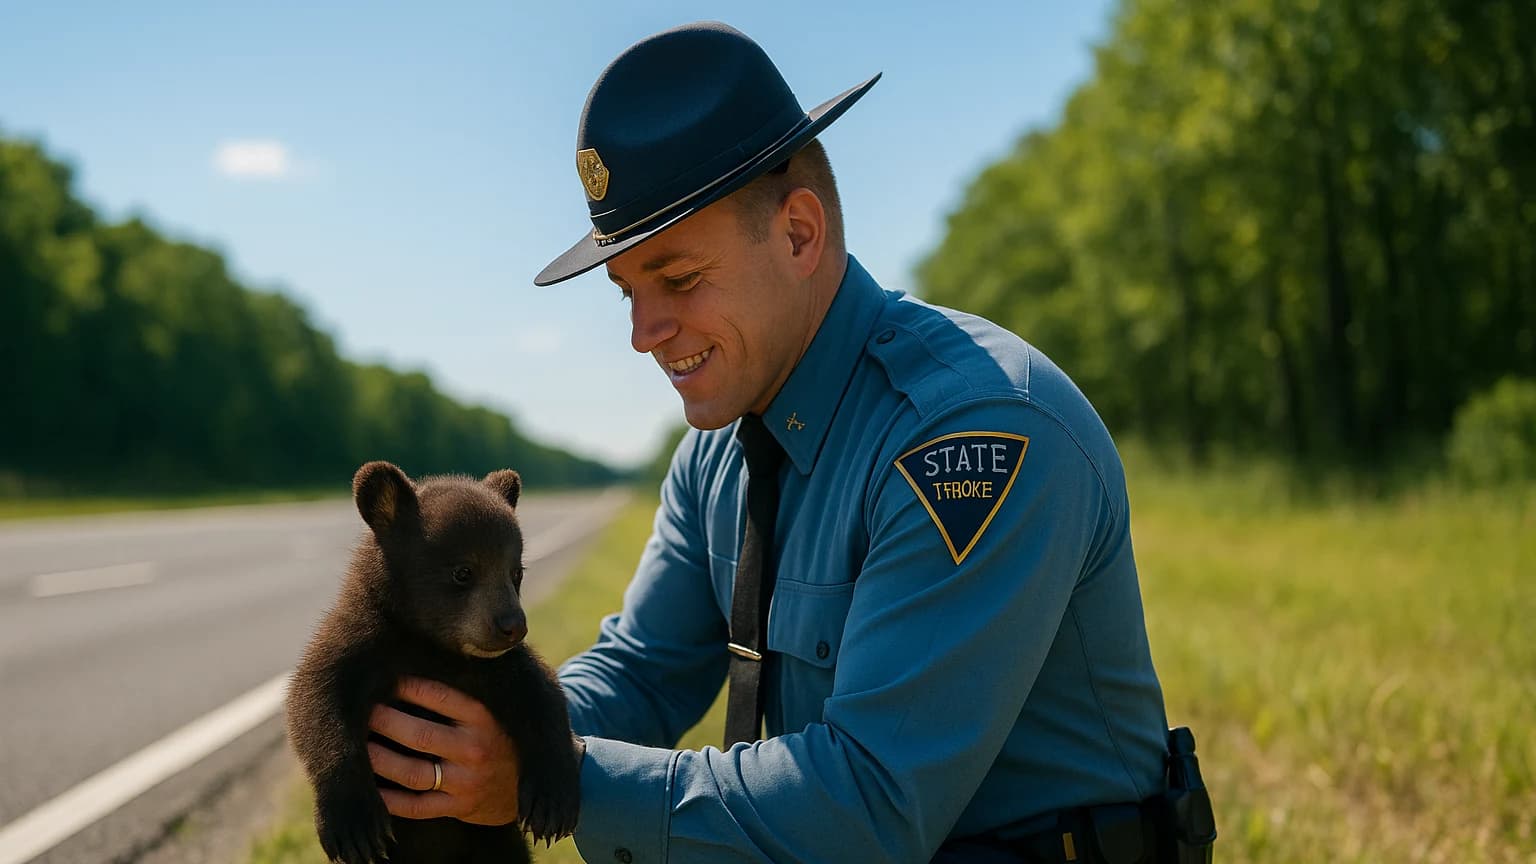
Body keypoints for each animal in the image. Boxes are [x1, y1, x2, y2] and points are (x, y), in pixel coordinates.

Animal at [285, 460, 582, 864]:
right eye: (463, 571)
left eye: (516, 572)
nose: (513, 626)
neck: (431, 648)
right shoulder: (358, 646)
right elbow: (317, 700)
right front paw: (352, 822)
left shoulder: (496, 668)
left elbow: (542, 694)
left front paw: (553, 800)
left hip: (494, 842)